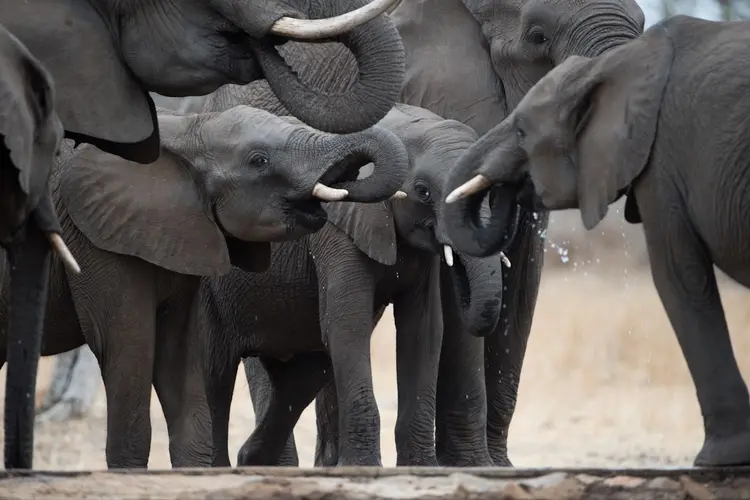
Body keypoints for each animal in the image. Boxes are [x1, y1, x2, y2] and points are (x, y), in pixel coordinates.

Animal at [184, 102, 506, 468]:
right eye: (423, 191)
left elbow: (423, 332)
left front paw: (422, 468)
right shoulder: (336, 232)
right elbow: (348, 325)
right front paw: (363, 468)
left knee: (302, 378)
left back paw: (251, 460)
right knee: (216, 374)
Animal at [444, 15, 750, 468]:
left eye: (521, 129)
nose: (509, 187)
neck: (610, 66)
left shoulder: (662, 162)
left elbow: (678, 277)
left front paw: (719, 459)